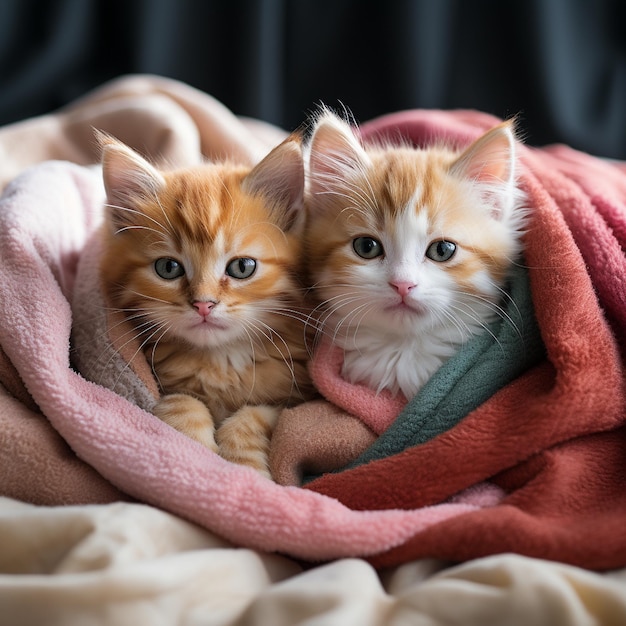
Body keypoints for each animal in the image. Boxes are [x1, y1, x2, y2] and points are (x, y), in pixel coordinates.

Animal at [100, 133, 314, 478]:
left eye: (242, 267)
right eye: (168, 268)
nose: (203, 304)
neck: (221, 361)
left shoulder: (293, 402)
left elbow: (251, 417)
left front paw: (246, 471)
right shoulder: (166, 387)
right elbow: (184, 405)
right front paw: (198, 459)